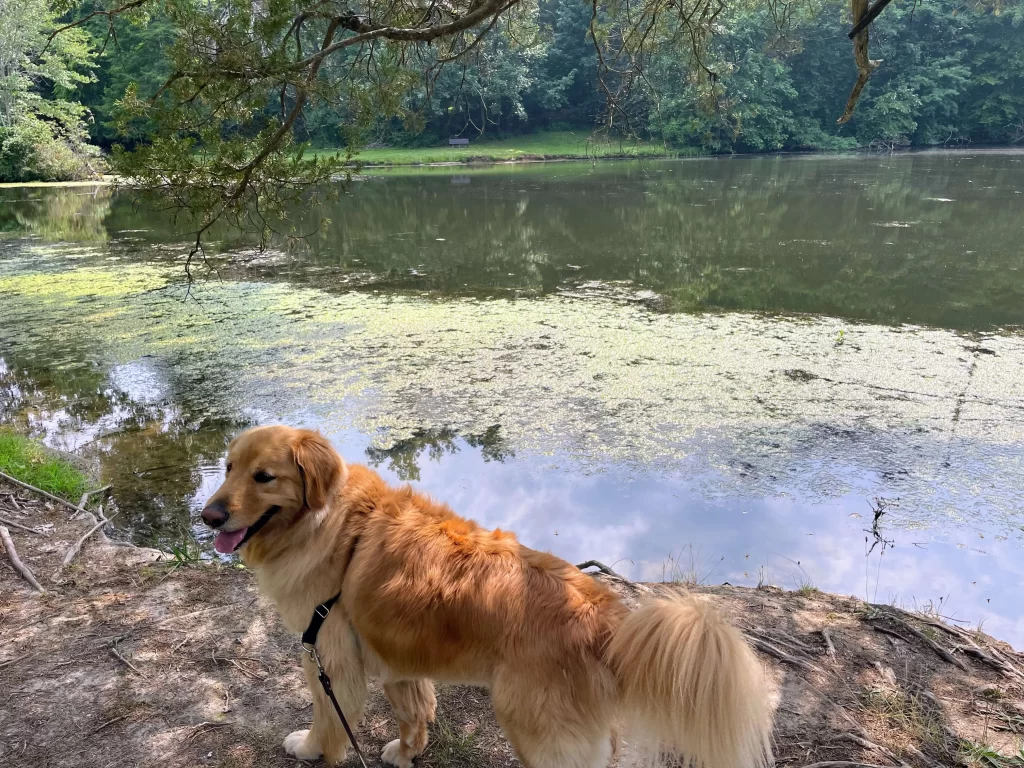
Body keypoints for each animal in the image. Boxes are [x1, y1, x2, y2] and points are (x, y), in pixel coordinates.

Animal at [199, 428, 770, 768]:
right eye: (226, 468)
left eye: (264, 477)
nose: (208, 516)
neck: (334, 524)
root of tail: (607, 617)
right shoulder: (399, 657)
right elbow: (414, 713)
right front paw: (406, 754)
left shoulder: (329, 657)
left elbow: (328, 718)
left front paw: (313, 748)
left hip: (539, 733)